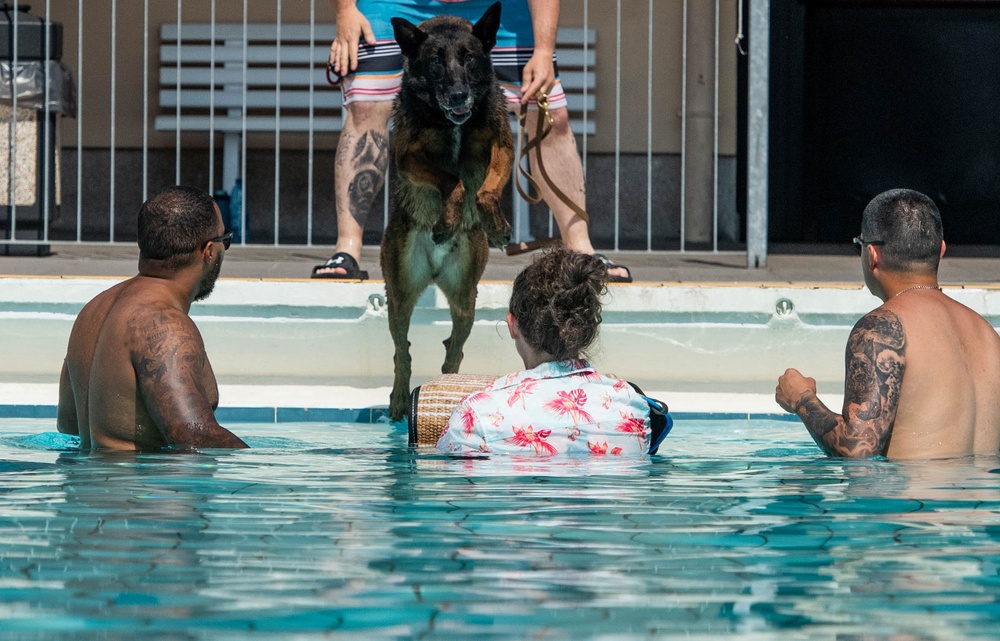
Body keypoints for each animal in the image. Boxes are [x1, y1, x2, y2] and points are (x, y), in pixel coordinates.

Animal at [378, 2, 512, 422]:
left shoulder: (502, 144)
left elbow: (484, 190)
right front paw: (448, 218)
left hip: (466, 296)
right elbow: (452, 179)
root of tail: (435, 270)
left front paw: (496, 225)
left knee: (455, 347)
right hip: (400, 291)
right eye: (436, 62)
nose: (457, 95)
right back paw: (400, 400)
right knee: (401, 351)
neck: (451, 121)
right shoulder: (408, 157)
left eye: (468, 57)